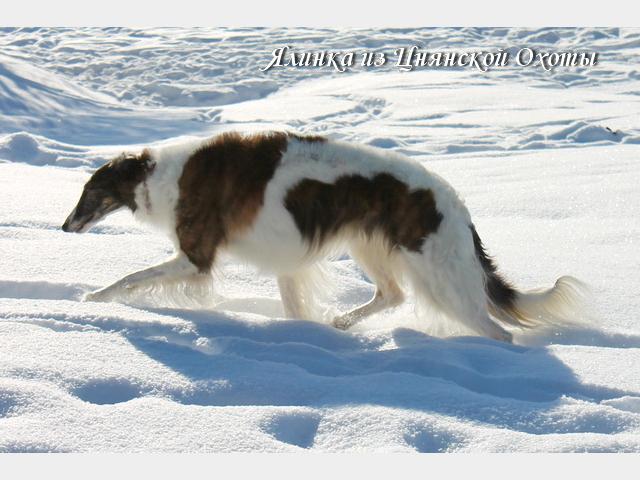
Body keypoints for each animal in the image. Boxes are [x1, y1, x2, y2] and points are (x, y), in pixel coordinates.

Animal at [62, 131, 588, 342]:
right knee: (392, 294)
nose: (65, 226)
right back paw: (342, 323)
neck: (160, 174)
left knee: (499, 332)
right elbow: (296, 309)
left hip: (442, 279)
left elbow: (128, 278)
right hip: (369, 246)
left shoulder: (196, 256)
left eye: (88, 192)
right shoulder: (286, 264)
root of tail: (456, 207)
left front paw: (92, 299)